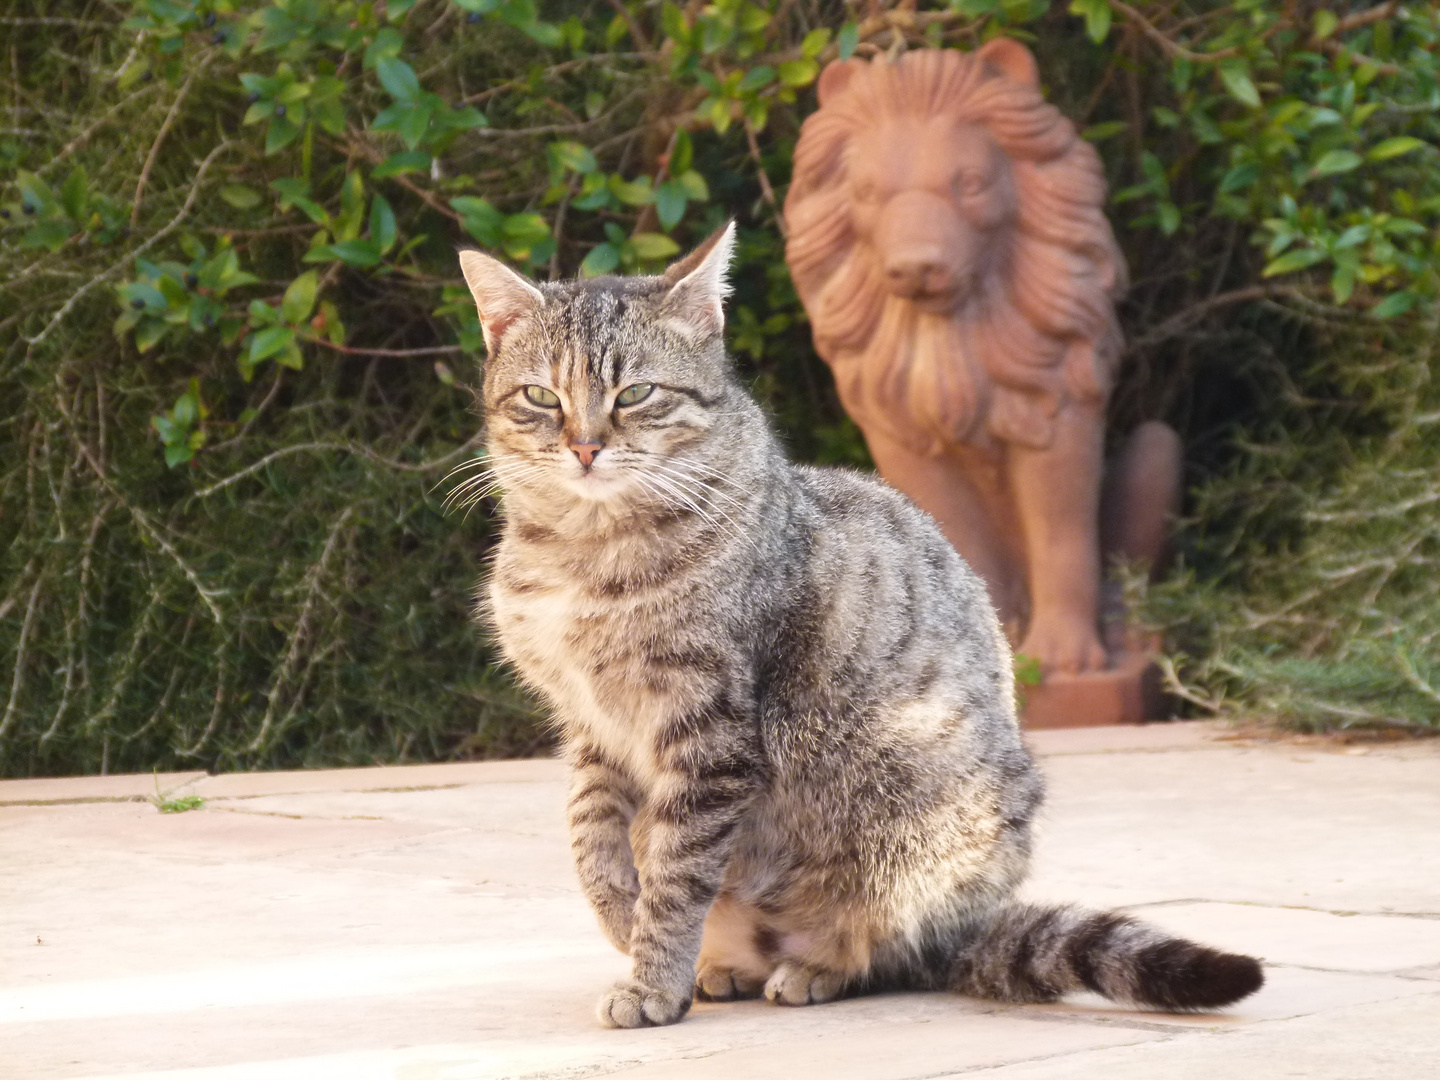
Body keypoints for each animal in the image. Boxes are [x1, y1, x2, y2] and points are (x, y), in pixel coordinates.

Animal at [457, 224, 1261, 1025]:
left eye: (636, 394)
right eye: (540, 396)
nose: (585, 447)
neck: (583, 547)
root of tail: (966, 930)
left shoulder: (710, 734)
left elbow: (678, 874)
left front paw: (652, 980)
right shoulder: (589, 723)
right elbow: (590, 833)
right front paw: (620, 914)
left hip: (925, 837)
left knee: (888, 951)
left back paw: (815, 968)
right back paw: (727, 967)